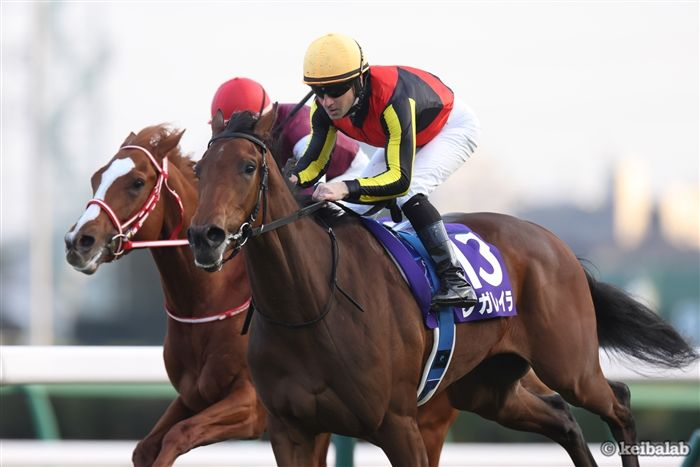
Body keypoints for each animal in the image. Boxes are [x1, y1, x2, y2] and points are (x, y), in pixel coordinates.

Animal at [188, 107, 698, 467]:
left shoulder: (398, 425)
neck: (310, 306)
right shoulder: (292, 431)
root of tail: (556, 242)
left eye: (248, 166)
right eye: (198, 170)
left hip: (569, 364)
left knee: (619, 403)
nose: (204, 237)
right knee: (562, 418)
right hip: (488, 388)